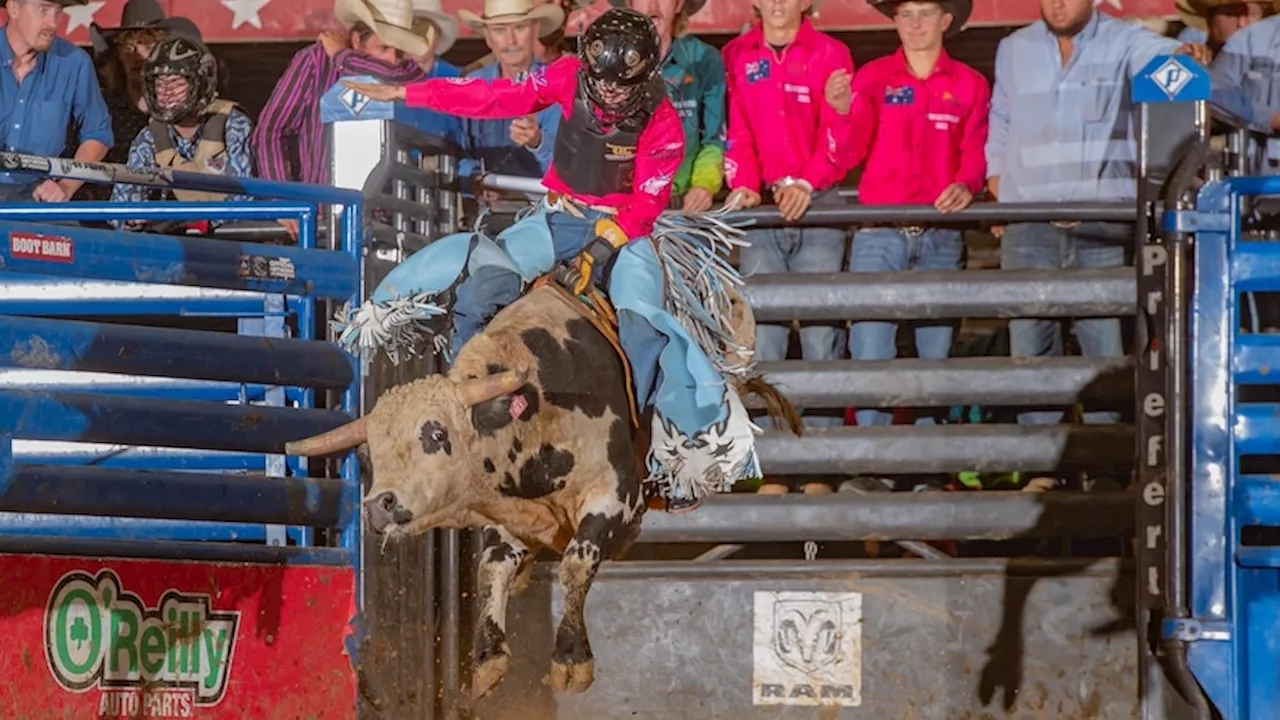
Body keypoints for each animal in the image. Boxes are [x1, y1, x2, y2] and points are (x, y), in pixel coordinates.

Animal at [288, 281, 798, 702]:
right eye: (370, 452)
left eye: (435, 433)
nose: (379, 505)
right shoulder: (508, 517)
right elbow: (490, 571)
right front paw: (488, 660)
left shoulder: (614, 496)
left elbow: (576, 563)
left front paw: (571, 661)